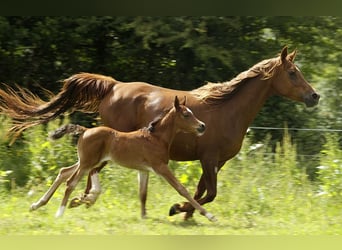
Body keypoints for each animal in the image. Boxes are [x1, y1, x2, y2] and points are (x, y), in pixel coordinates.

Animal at [30, 96, 216, 222]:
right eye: (185, 114)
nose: (202, 126)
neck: (156, 138)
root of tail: (85, 130)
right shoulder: (160, 167)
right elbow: (182, 189)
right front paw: (210, 215)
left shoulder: (144, 170)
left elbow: (143, 193)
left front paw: (144, 216)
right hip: (87, 163)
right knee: (70, 182)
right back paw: (59, 212)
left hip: (85, 161)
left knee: (63, 173)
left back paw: (37, 204)